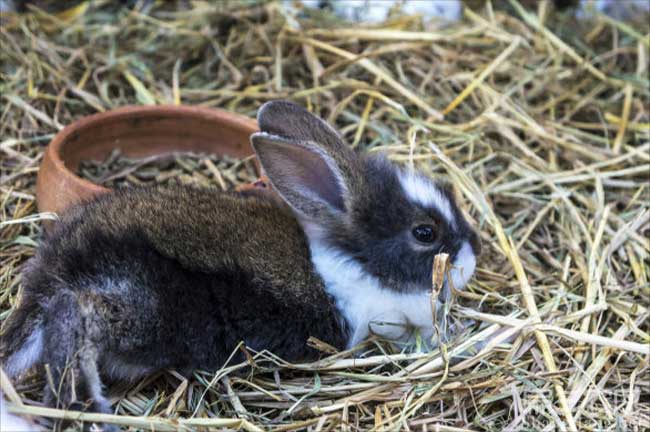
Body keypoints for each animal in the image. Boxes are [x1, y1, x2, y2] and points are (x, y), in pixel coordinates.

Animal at [0, 100, 476, 428]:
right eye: (424, 233)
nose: (474, 257)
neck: (353, 261)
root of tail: (55, 266)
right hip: (138, 309)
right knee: (73, 313)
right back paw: (86, 405)